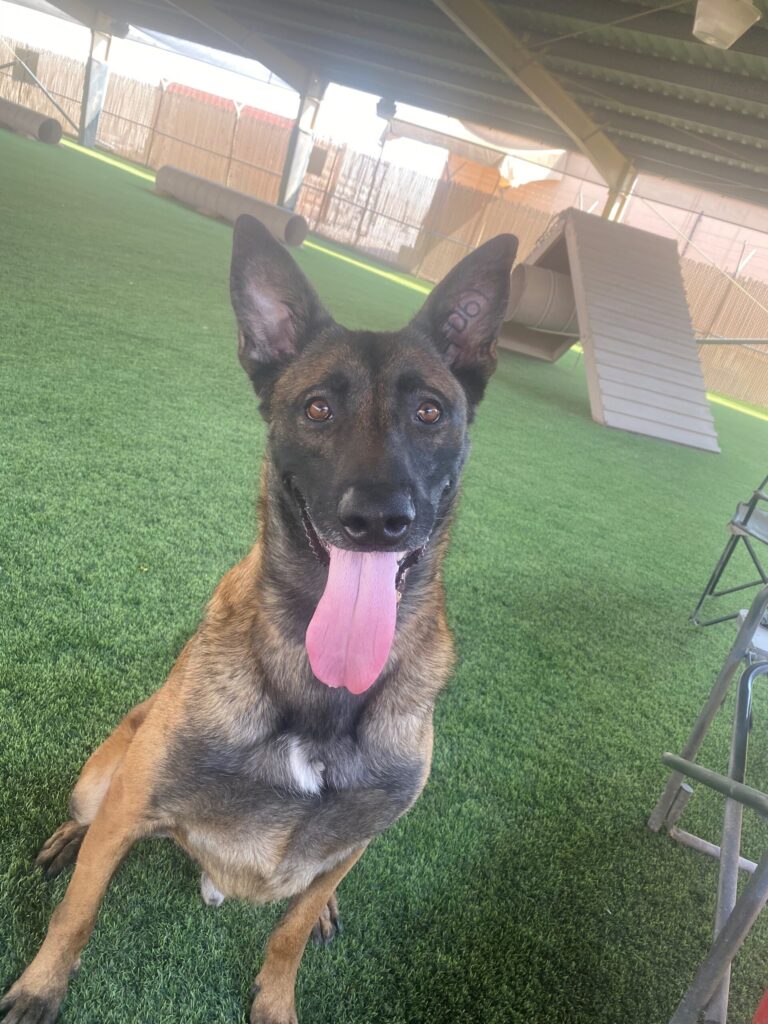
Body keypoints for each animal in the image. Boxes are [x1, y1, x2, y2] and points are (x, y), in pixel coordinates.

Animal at [0, 215, 517, 1024]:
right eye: (317, 408)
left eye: (430, 411)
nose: (379, 520)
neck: (320, 690)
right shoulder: (131, 808)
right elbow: (78, 913)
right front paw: (41, 987)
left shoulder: (354, 842)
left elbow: (290, 932)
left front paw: (278, 994)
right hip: (104, 776)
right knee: (85, 821)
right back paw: (63, 844)